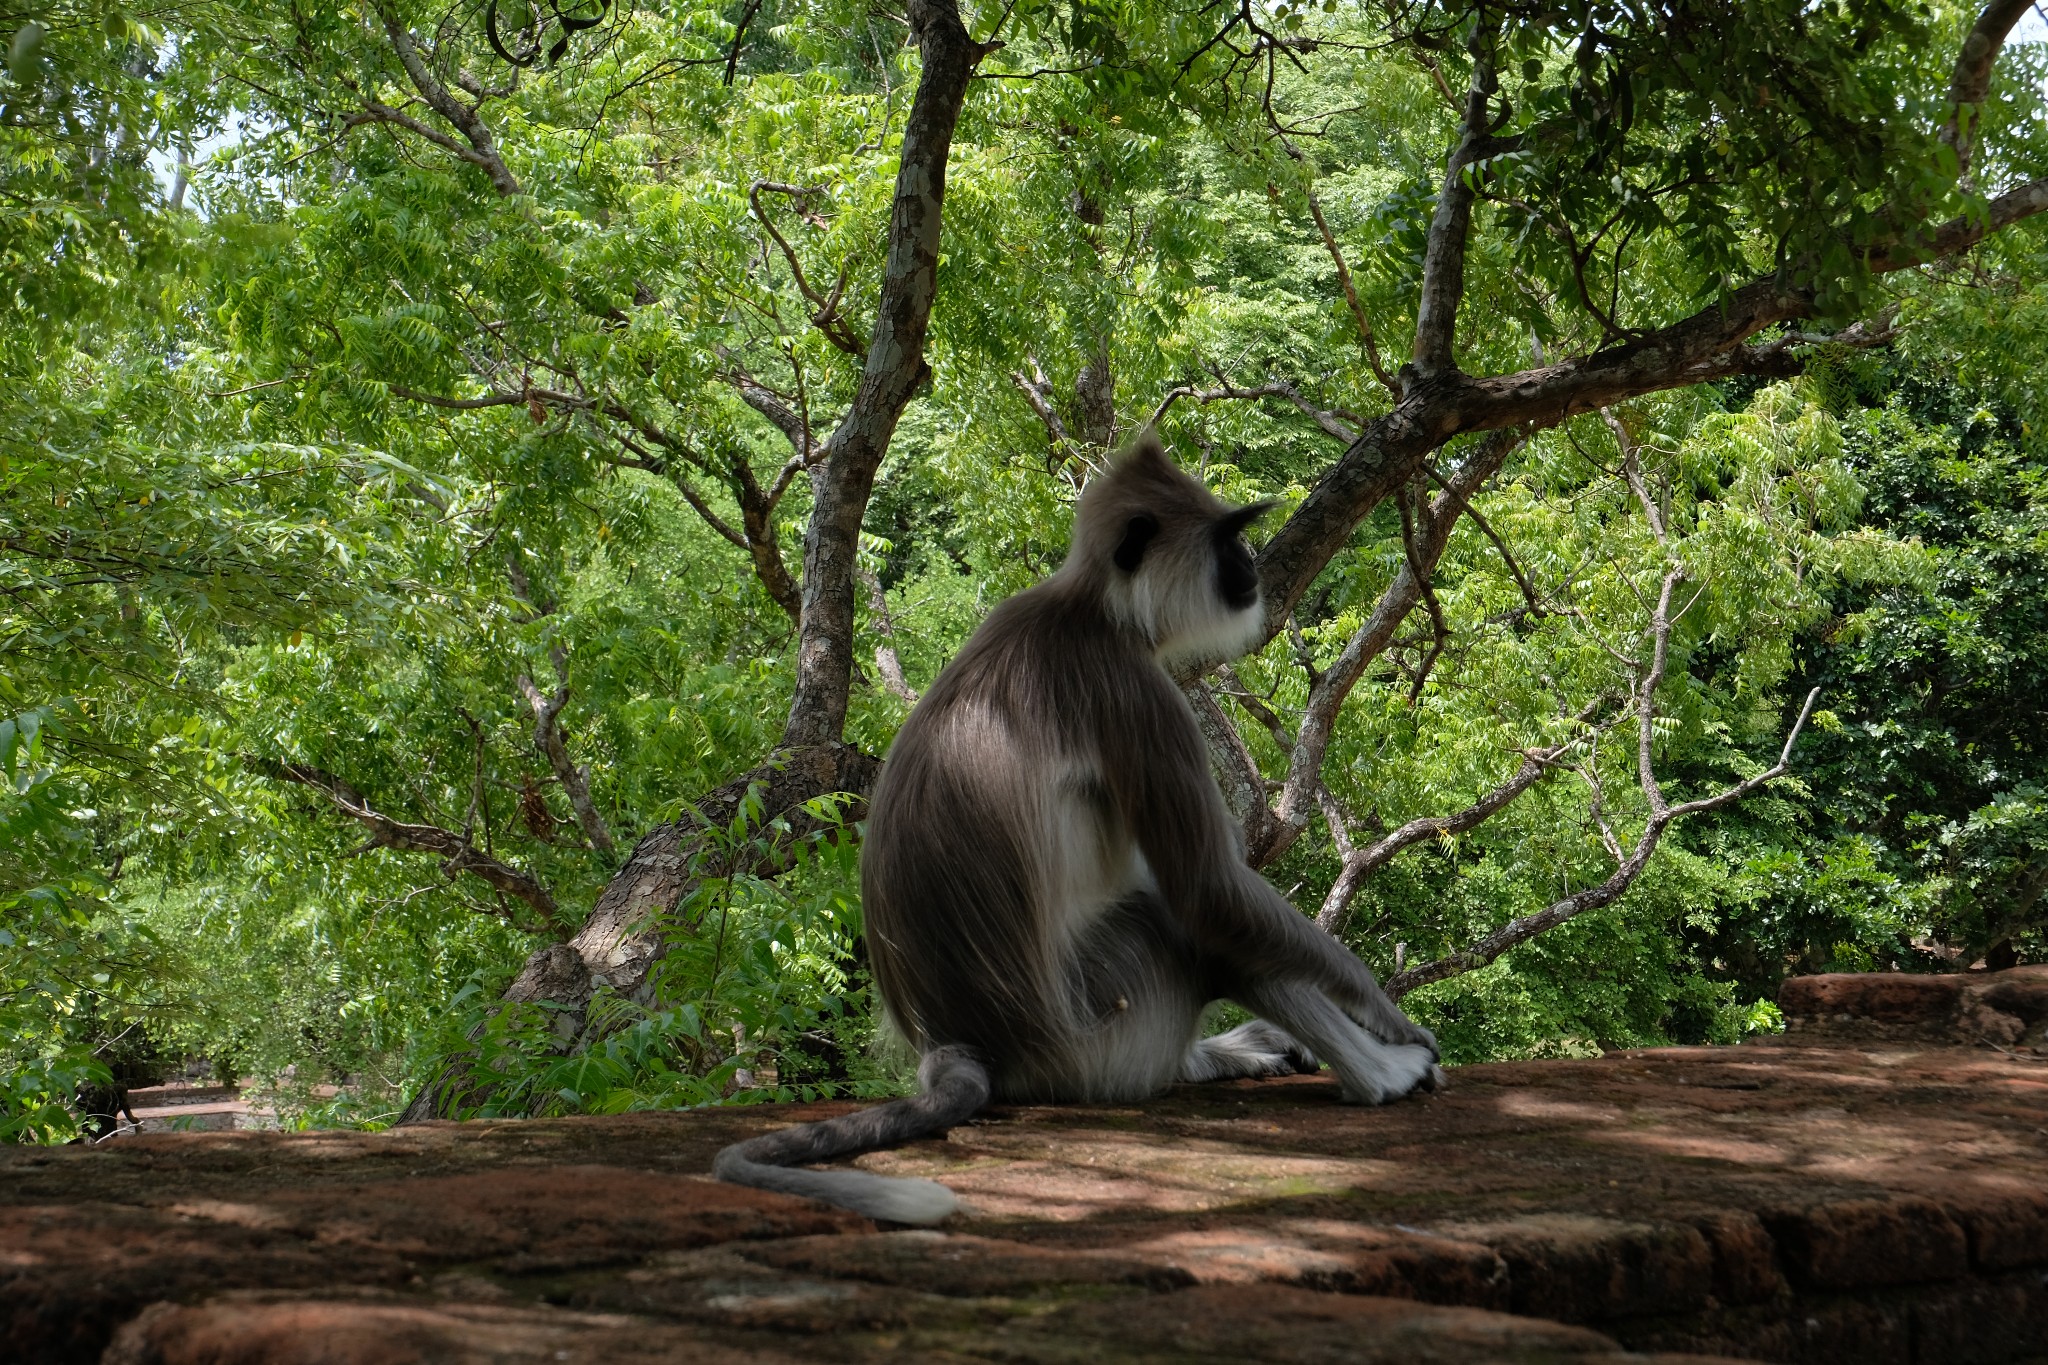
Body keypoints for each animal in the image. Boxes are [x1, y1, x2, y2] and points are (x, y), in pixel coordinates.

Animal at [720, 437, 1441, 1227]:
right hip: (1097, 1032)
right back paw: (1379, 1075)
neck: (1094, 609)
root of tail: (961, 1046)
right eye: (1226, 538)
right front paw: (1391, 1022)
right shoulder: (1135, 691)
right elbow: (1209, 891)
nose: (1249, 566)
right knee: (1188, 921)